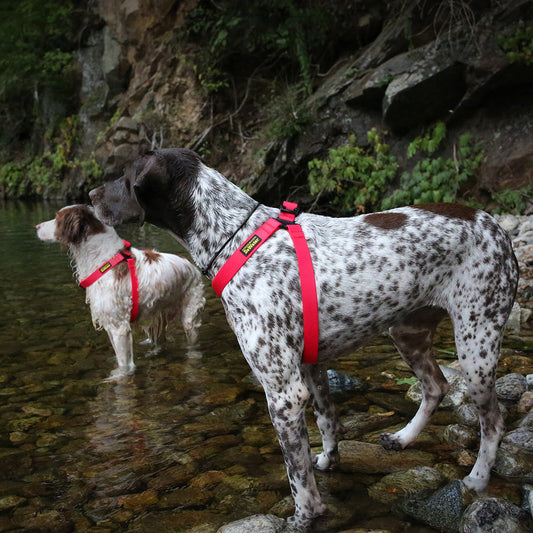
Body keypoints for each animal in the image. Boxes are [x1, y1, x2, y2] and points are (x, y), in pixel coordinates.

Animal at [35, 202, 205, 380]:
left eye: (57, 218)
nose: (36, 226)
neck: (101, 258)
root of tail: (192, 266)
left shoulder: (119, 327)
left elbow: (125, 365)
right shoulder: (110, 323)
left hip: (190, 318)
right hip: (155, 318)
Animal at [89, 148, 516, 528]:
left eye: (125, 177)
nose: (90, 195)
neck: (237, 237)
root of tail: (493, 223)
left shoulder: (283, 393)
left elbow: (297, 476)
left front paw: (305, 516)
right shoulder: (312, 365)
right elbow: (327, 421)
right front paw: (328, 460)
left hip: (476, 347)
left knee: (493, 421)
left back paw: (478, 479)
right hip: (407, 333)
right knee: (435, 387)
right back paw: (404, 438)